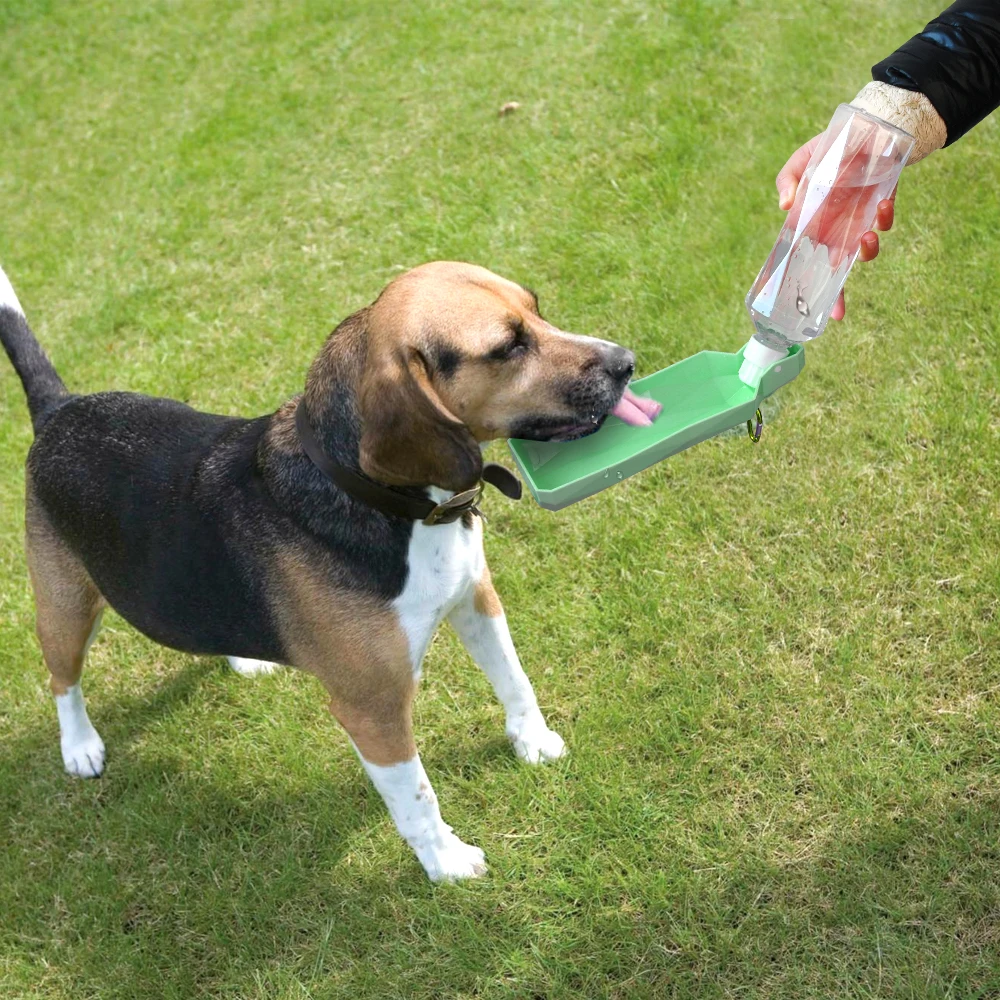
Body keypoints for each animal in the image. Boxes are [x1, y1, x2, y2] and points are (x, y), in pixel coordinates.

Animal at [1, 262, 664, 880]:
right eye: (507, 347)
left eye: (536, 308)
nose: (626, 363)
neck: (393, 504)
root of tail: (60, 410)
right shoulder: (371, 707)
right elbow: (417, 797)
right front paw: (446, 862)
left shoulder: (475, 598)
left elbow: (515, 679)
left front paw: (533, 741)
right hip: (66, 607)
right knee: (62, 678)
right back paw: (80, 745)